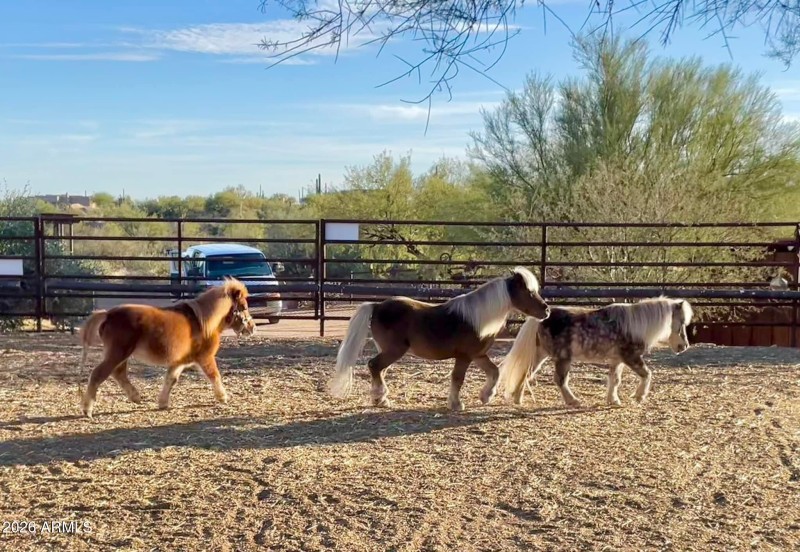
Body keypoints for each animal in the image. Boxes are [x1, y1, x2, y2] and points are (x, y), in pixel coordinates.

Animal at [78, 278, 256, 418]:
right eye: (244, 306)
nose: (252, 327)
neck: (203, 322)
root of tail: (108, 314)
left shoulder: (180, 361)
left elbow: (171, 379)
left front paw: (162, 403)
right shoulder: (205, 357)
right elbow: (214, 375)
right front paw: (223, 397)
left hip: (121, 355)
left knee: (119, 373)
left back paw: (135, 397)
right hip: (117, 353)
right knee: (98, 374)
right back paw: (87, 410)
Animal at [328, 267, 551, 411]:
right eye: (529, 292)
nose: (546, 310)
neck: (478, 317)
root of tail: (377, 306)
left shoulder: (478, 355)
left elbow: (494, 372)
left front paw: (485, 396)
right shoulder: (464, 356)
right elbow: (457, 378)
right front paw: (456, 404)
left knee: (378, 369)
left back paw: (380, 399)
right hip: (394, 350)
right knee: (374, 366)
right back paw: (380, 399)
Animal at [501, 297, 693, 408]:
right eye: (681, 322)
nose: (684, 346)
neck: (635, 325)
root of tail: (542, 318)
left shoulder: (617, 360)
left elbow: (615, 380)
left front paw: (613, 400)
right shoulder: (631, 357)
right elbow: (647, 374)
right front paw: (639, 396)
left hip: (541, 355)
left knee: (526, 373)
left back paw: (518, 399)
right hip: (563, 358)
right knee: (560, 380)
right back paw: (573, 401)